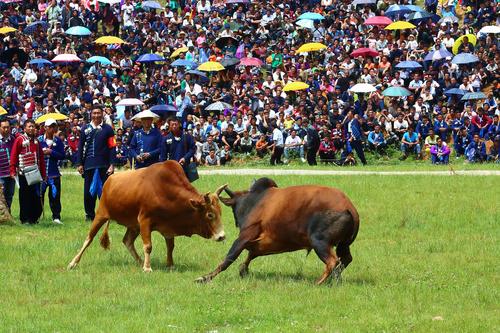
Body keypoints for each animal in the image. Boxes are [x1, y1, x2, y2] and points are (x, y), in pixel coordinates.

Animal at [68, 161, 227, 272]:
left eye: (220, 212)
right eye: (210, 214)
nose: (222, 236)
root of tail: (110, 179)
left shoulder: (168, 226)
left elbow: (170, 246)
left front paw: (170, 265)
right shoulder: (145, 221)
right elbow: (148, 246)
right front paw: (148, 267)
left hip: (133, 225)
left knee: (127, 241)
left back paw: (139, 261)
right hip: (101, 215)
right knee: (89, 239)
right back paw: (73, 262)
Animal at [196, 178, 360, 284]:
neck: (254, 200)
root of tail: (349, 208)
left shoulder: (245, 236)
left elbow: (229, 258)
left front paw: (204, 278)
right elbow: (250, 255)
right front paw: (243, 270)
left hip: (319, 241)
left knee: (333, 261)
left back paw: (318, 282)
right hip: (343, 244)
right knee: (345, 259)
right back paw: (335, 279)